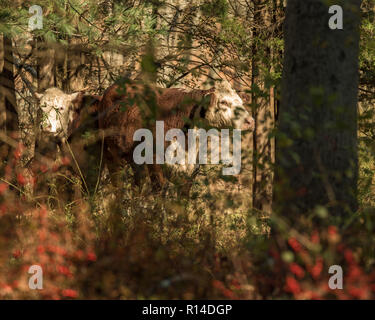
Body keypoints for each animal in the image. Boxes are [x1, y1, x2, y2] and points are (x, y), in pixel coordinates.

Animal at [98, 78, 256, 198]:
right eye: (223, 102)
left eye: (241, 102)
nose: (250, 121)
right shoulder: (155, 160)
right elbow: (160, 192)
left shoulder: (191, 169)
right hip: (111, 155)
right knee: (117, 186)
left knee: (136, 186)